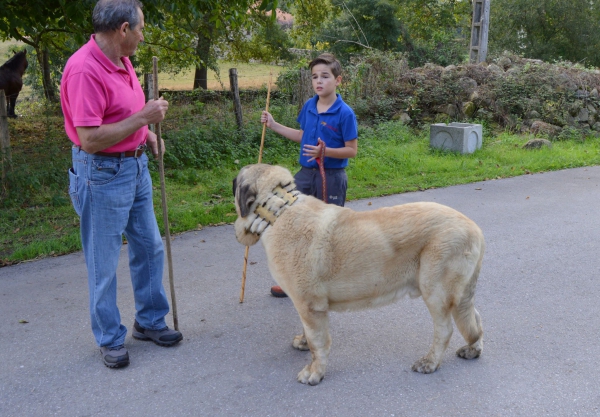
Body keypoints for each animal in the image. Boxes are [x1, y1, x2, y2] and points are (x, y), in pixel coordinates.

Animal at [232, 164, 486, 386]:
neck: (278, 209)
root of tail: (475, 229)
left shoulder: (309, 306)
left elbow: (318, 344)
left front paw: (314, 373)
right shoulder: (307, 308)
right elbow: (308, 333)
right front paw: (303, 342)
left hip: (436, 291)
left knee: (445, 329)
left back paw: (430, 362)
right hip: (460, 294)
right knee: (474, 319)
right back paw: (473, 349)